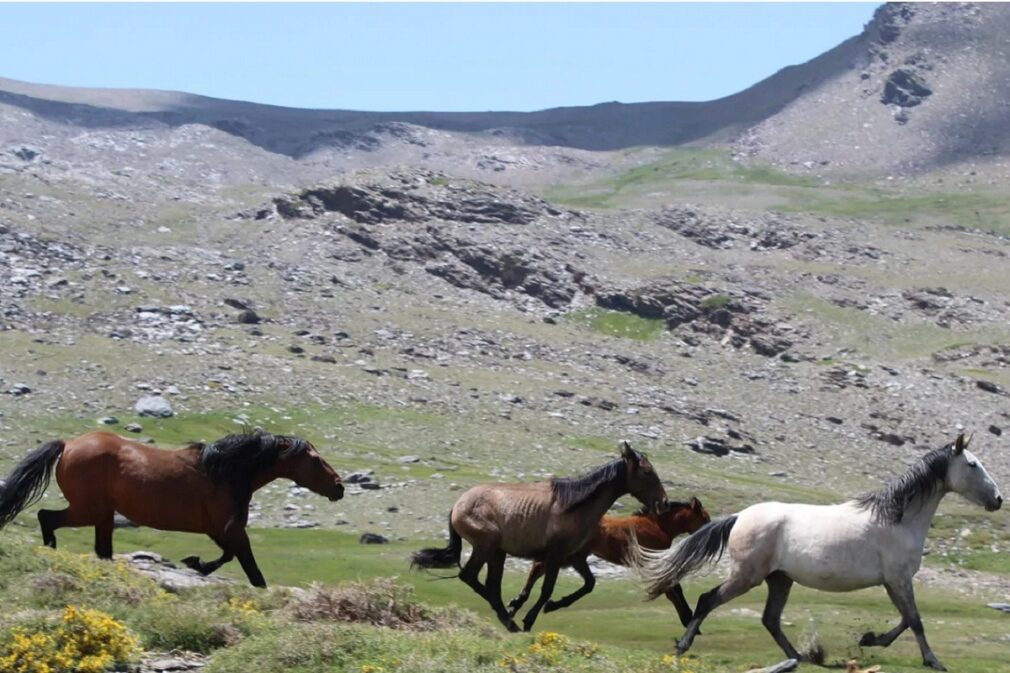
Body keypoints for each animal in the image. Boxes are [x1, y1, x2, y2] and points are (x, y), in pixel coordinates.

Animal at [0, 432, 343, 586]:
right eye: (315, 460)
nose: (339, 486)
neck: (224, 472)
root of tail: (68, 445)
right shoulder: (232, 529)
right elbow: (251, 569)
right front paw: (198, 564)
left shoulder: (218, 529)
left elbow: (228, 556)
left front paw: (195, 563)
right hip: (88, 510)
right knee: (47, 518)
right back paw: (51, 552)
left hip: (102, 515)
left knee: (102, 549)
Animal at [410, 442, 662, 630]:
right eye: (648, 472)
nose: (663, 502)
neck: (573, 506)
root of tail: (457, 505)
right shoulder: (556, 556)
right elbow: (547, 589)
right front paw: (529, 618)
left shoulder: (574, 557)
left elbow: (589, 583)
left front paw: (551, 606)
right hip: (486, 547)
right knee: (472, 578)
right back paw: (509, 619)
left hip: (497, 553)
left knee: (490, 584)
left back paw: (508, 616)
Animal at [505, 493, 711, 622]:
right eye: (706, 519)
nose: (711, 535)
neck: (658, 525)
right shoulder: (652, 562)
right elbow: (673, 588)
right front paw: (687, 617)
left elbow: (673, 588)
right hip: (569, 557)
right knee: (539, 568)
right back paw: (522, 606)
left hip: (576, 557)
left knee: (546, 570)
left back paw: (521, 605)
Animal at [630, 432, 1001, 666]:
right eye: (972, 465)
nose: (997, 499)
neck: (898, 518)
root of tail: (739, 517)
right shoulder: (898, 579)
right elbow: (915, 620)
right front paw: (933, 661)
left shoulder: (892, 582)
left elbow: (905, 621)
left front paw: (870, 639)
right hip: (747, 576)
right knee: (709, 600)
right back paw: (683, 646)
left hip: (780, 579)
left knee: (770, 619)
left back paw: (799, 657)